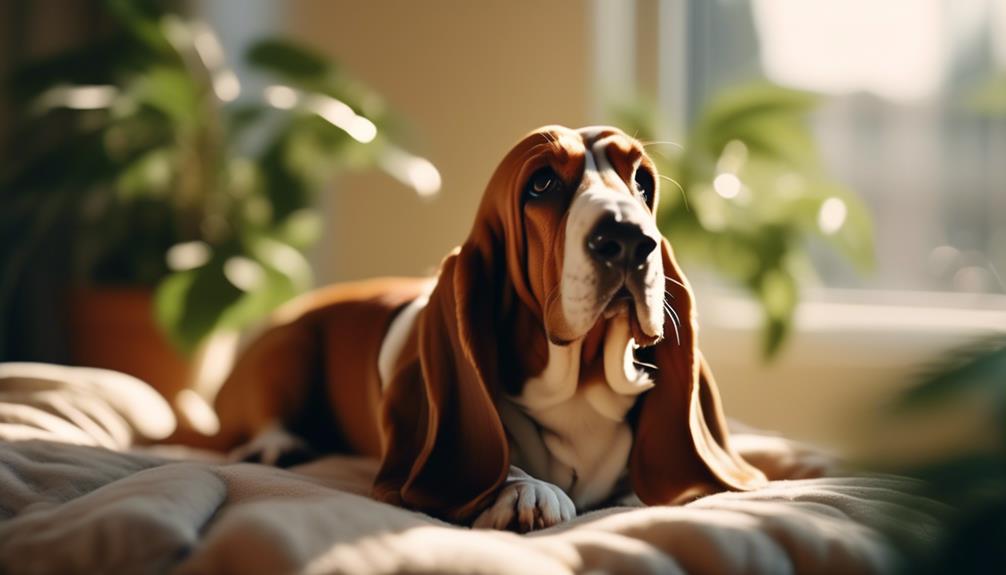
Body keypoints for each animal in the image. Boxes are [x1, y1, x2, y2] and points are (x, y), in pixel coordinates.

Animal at [210, 124, 760, 530]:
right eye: (542, 183)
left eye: (642, 183)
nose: (628, 238)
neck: (576, 387)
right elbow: (498, 460)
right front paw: (526, 490)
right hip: (290, 347)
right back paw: (278, 445)